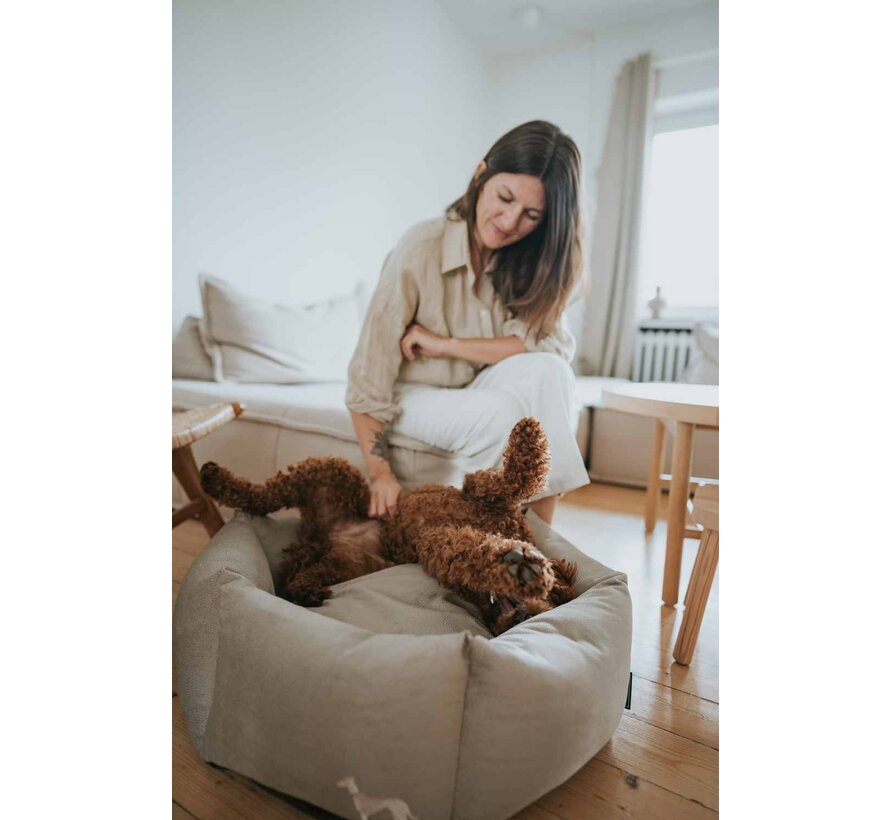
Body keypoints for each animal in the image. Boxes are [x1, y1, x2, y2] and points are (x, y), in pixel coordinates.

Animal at [199, 416, 576, 636]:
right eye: (554, 595)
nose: (523, 619)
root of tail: (316, 538)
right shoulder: (480, 490)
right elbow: (517, 478)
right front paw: (529, 435)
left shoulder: (439, 545)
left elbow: (471, 552)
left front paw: (515, 564)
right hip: (334, 474)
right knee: (262, 494)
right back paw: (215, 477)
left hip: (347, 561)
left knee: (304, 571)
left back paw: (306, 590)